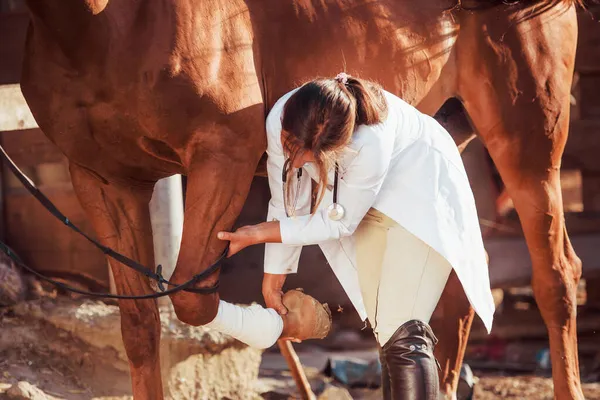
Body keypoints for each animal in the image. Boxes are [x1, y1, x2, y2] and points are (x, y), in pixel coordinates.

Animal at [21, 1, 584, 398]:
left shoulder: (222, 155)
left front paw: (298, 317)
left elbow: (191, 299)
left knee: (556, 274)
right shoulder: (103, 180)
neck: (108, 25)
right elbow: (139, 329)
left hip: (528, 139)